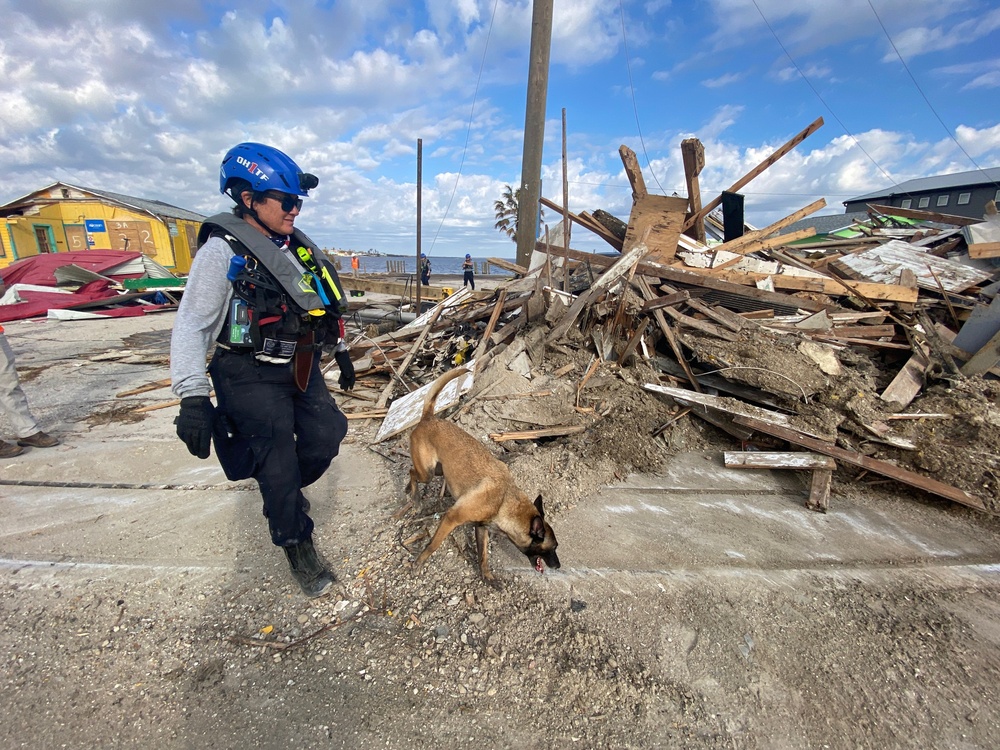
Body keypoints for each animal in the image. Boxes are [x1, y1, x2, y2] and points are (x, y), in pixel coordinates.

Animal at [408, 368, 564, 580]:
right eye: (553, 548)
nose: (558, 566)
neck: (504, 501)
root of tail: (428, 418)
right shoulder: (451, 518)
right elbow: (434, 544)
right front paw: (420, 561)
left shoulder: (481, 527)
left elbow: (483, 556)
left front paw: (487, 577)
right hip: (428, 473)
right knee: (412, 473)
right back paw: (415, 498)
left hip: (440, 471)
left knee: (413, 472)